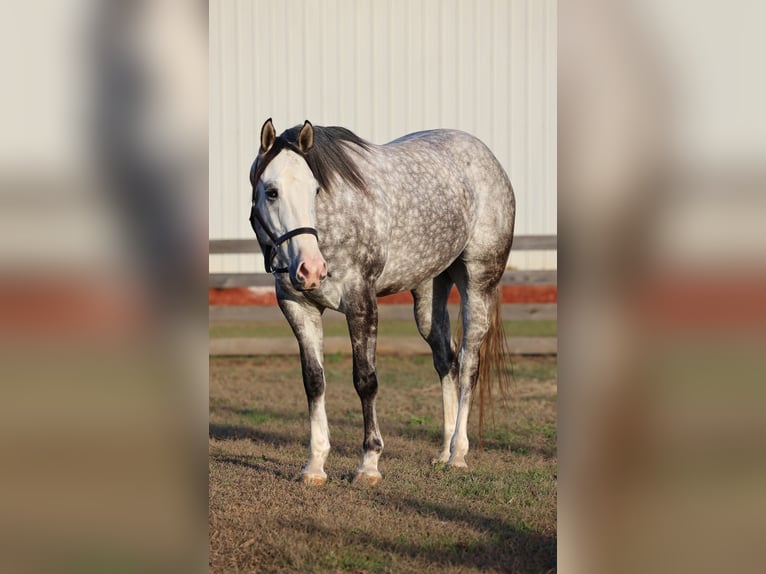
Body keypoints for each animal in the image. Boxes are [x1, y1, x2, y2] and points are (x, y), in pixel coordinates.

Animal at [249, 119, 515, 485]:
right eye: (271, 191)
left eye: (316, 190)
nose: (311, 269)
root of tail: (488, 158)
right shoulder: (297, 307)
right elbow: (314, 381)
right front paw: (315, 466)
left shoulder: (361, 302)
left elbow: (365, 380)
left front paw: (369, 464)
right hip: (429, 295)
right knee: (446, 361)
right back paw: (444, 450)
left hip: (478, 282)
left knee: (468, 364)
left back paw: (458, 455)